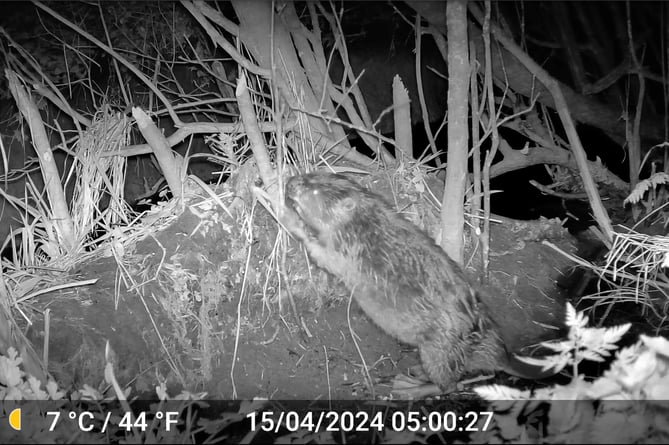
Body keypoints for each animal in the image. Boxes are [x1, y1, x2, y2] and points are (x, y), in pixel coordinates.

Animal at [280, 172, 556, 394]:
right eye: (311, 174)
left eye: (315, 189)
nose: (290, 182)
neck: (364, 220)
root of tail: (501, 355)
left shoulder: (346, 249)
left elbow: (320, 253)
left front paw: (283, 212)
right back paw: (417, 372)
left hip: (438, 350)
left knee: (449, 386)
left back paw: (409, 386)